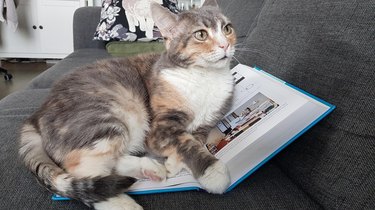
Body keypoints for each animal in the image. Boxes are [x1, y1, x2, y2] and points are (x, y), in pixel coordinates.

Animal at [19, 0, 236, 209]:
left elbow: (195, 139)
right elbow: (186, 142)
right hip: (107, 117)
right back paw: (122, 203)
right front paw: (212, 171)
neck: (205, 77)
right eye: (201, 34)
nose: (225, 45)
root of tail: (37, 115)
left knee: (110, 162)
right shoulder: (160, 127)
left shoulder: (206, 123)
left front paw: (173, 164)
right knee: (83, 169)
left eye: (227, 28)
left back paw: (150, 168)